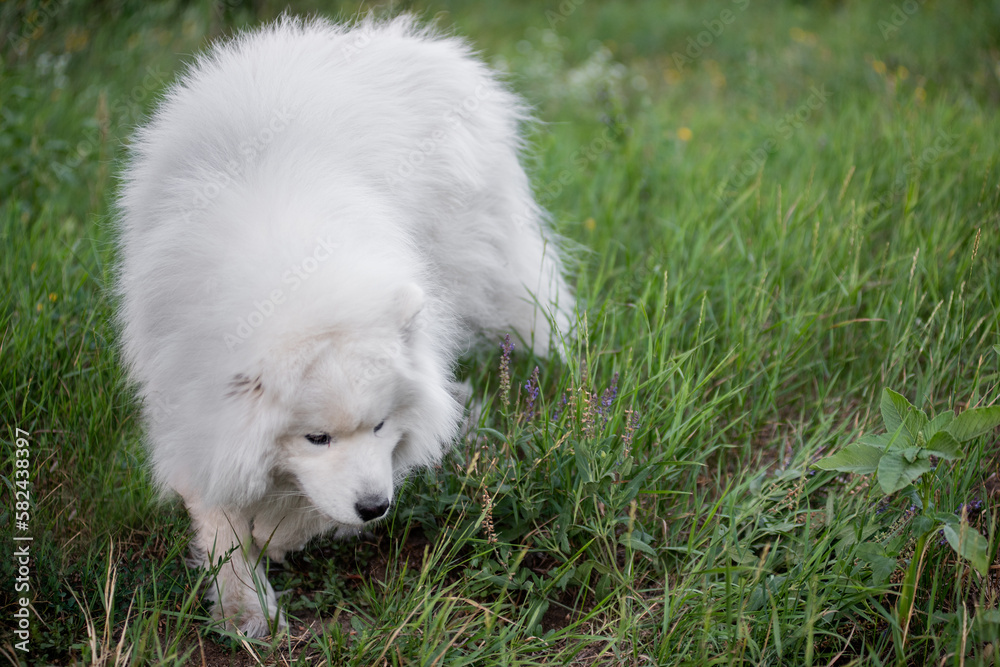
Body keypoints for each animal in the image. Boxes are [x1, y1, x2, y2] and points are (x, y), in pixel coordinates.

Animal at [114, 14, 576, 636]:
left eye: (380, 425)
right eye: (316, 437)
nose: (375, 507)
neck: (296, 273)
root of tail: (414, 41)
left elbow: (304, 507)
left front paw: (276, 537)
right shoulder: (190, 409)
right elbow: (223, 517)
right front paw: (246, 609)